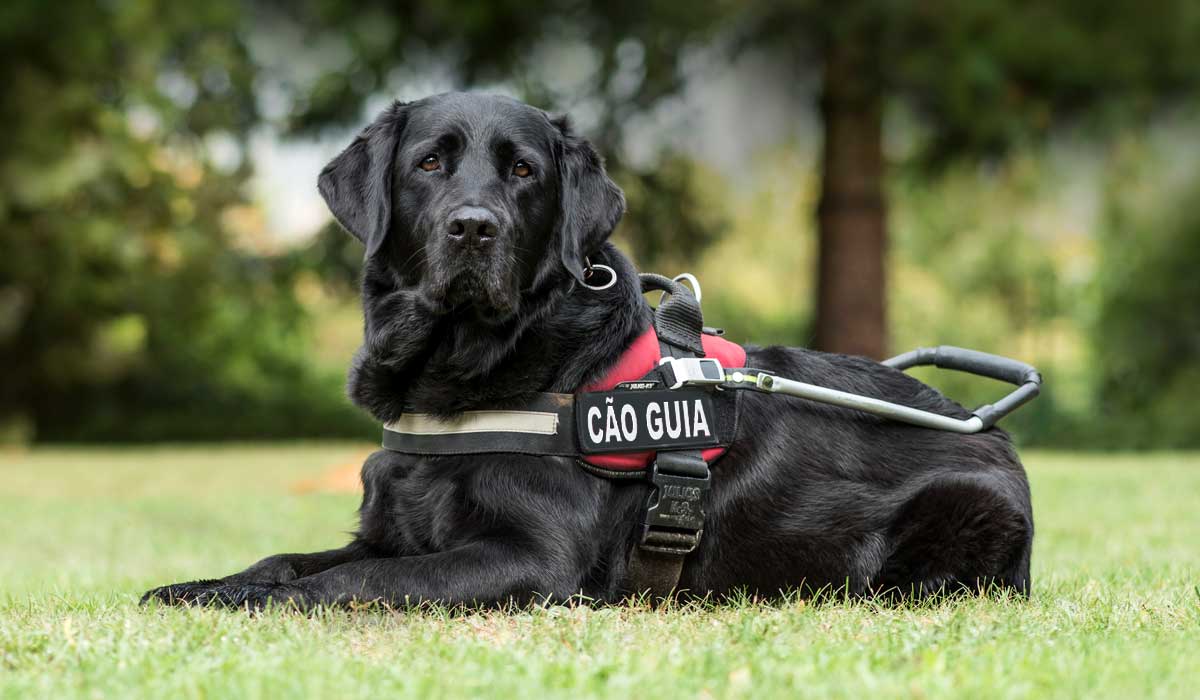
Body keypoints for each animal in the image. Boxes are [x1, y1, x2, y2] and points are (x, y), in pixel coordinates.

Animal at [142, 94, 1032, 614]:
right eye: (429, 162)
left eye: (523, 170)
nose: (474, 227)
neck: (462, 374)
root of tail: (993, 433)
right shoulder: (390, 530)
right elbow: (286, 560)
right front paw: (205, 585)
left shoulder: (534, 562)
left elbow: (349, 582)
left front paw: (248, 604)